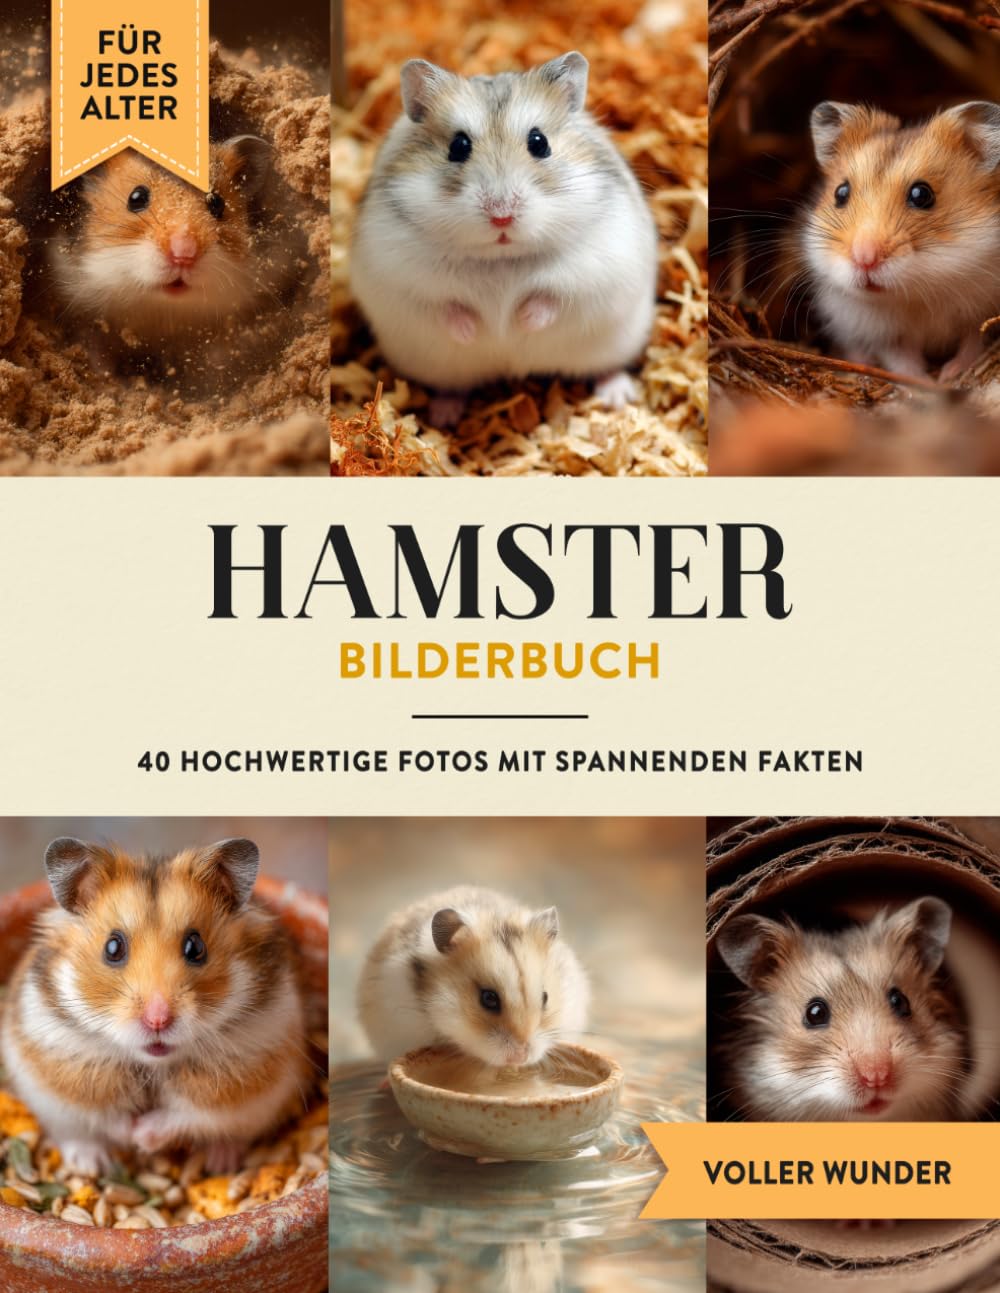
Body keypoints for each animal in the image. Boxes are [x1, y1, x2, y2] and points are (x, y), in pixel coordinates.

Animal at [0, 837, 310, 1176]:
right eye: (112, 947)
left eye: (195, 947)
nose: (158, 1021)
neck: (152, 1064)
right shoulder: (64, 1066)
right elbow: (104, 1113)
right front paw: (129, 1137)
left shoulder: (239, 1076)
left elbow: (188, 1114)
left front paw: (142, 1137)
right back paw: (92, 1165)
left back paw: (221, 1163)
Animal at [349, 52, 658, 423]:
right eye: (458, 146)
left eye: (540, 143)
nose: (501, 215)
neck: (501, 258)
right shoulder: (404, 279)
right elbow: (447, 307)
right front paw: (478, 332)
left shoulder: (592, 269)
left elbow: (550, 298)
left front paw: (519, 324)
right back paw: (444, 415)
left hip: (615, 342)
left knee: (607, 368)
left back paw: (617, 397)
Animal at [801, 100, 1000, 381]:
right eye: (840, 193)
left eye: (921, 194)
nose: (864, 259)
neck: (919, 292)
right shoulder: (885, 334)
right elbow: (903, 362)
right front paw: (926, 383)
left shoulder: (980, 314)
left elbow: (973, 344)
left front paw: (948, 375)